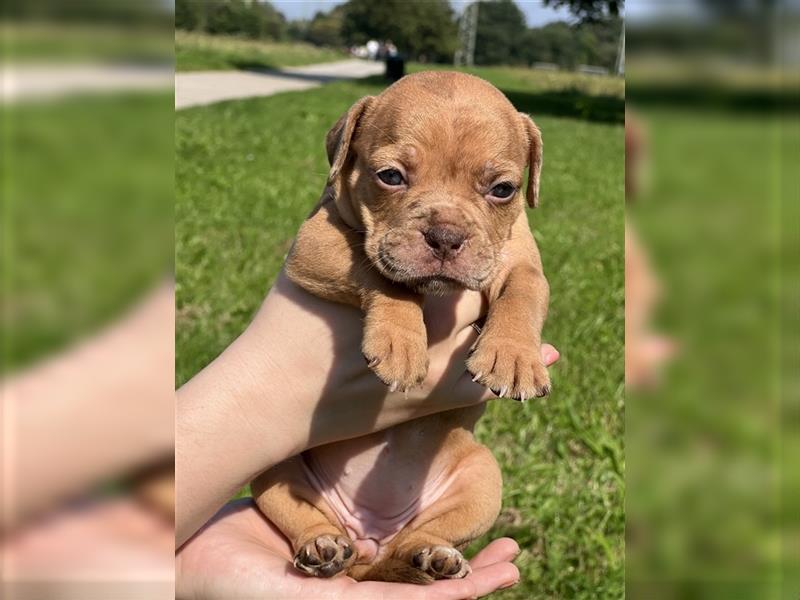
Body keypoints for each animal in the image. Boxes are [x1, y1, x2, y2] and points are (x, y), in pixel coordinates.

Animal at [255, 69, 552, 580]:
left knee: (410, 548)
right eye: (390, 177)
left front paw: (513, 358)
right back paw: (323, 547)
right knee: (302, 515)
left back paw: (431, 559)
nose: (446, 236)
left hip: (484, 478)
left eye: (503, 190)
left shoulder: (520, 256)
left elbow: (524, 292)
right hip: (272, 465)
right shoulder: (316, 241)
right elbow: (381, 272)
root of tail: (368, 542)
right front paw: (400, 344)